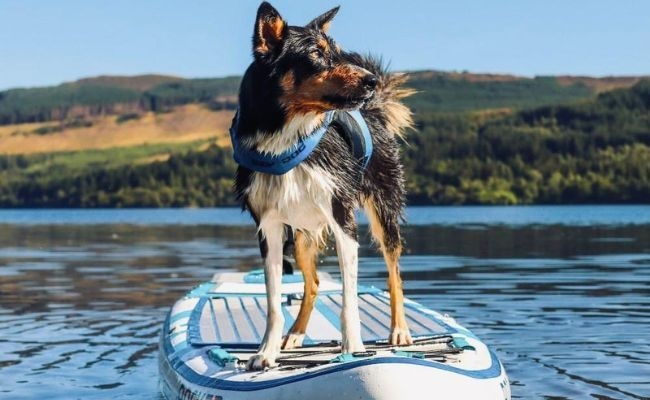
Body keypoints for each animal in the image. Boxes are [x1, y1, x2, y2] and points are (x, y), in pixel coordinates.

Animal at [232, 1, 416, 370]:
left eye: (339, 53)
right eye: (316, 54)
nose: (372, 80)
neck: (286, 139)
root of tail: (375, 110)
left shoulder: (343, 220)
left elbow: (349, 300)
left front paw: (353, 348)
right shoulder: (268, 228)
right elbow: (273, 302)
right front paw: (265, 352)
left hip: (383, 211)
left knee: (394, 273)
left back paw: (400, 330)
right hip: (301, 236)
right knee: (314, 282)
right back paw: (296, 335)